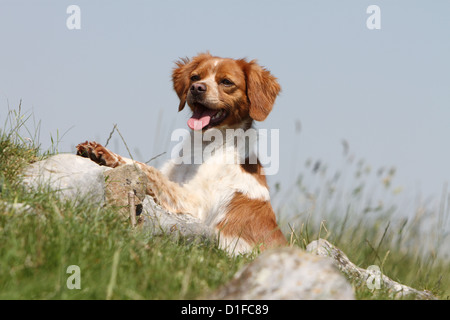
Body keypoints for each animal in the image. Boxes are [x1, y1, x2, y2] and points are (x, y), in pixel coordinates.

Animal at [76, 53, 288, 255]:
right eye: (195, 77)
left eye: (226, 82)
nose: (197, 88)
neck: (203, 148)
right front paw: (101, 153)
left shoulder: (193, 205)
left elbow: (149, 170)